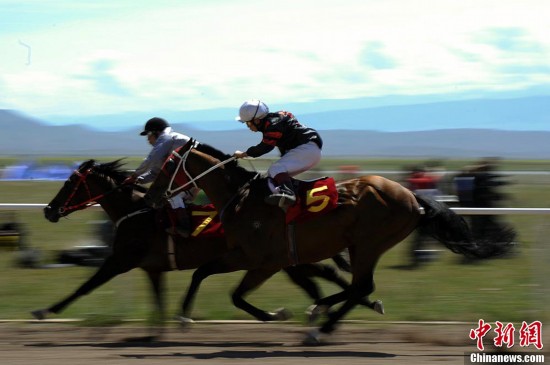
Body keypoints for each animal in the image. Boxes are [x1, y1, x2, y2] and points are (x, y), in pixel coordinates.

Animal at [34, 157, 362, 330]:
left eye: (69, 183)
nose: (48, 210)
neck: (135, 212)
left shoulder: (121, 259)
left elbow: (86, 286)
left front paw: (45, 311)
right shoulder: (152, 268)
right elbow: (159, 300)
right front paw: (157, 332)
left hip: (280, 260)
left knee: (321, 278)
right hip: (287, 260)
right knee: (322, 278)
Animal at [144, 140, 516, 344]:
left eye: (168, 165)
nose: (150, 195)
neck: (243, 198)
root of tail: (412, 196)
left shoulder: (262, 260)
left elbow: (229, 291)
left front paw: (276, 314)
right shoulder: (260, 258)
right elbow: (204, 275)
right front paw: (183, 318)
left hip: (368, 243)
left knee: (361, 285)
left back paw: (320, 326)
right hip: (361, 245)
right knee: (357, 286)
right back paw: (322, 314)